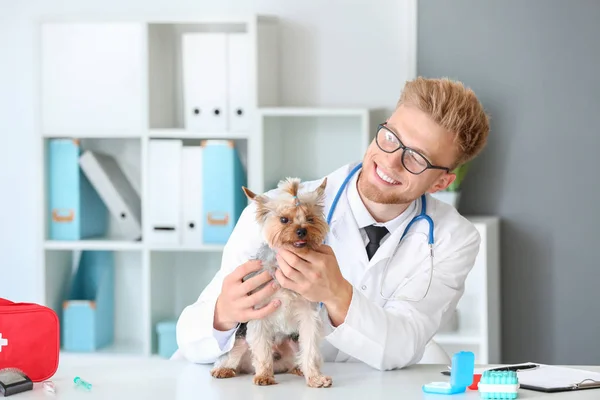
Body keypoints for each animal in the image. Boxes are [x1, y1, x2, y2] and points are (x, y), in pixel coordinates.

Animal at [211, 177, 332, 388]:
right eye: (284, 220)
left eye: (310, 219)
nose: (302, 231)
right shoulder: (258, 313)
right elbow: (261, 350)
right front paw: (264, 376)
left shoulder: (309, 315)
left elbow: (310, 349)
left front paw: (315, 378)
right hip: (241, 340)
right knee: (235, 353)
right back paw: (224, 369)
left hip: (292, 343)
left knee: (298, 356)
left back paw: (299, 368)